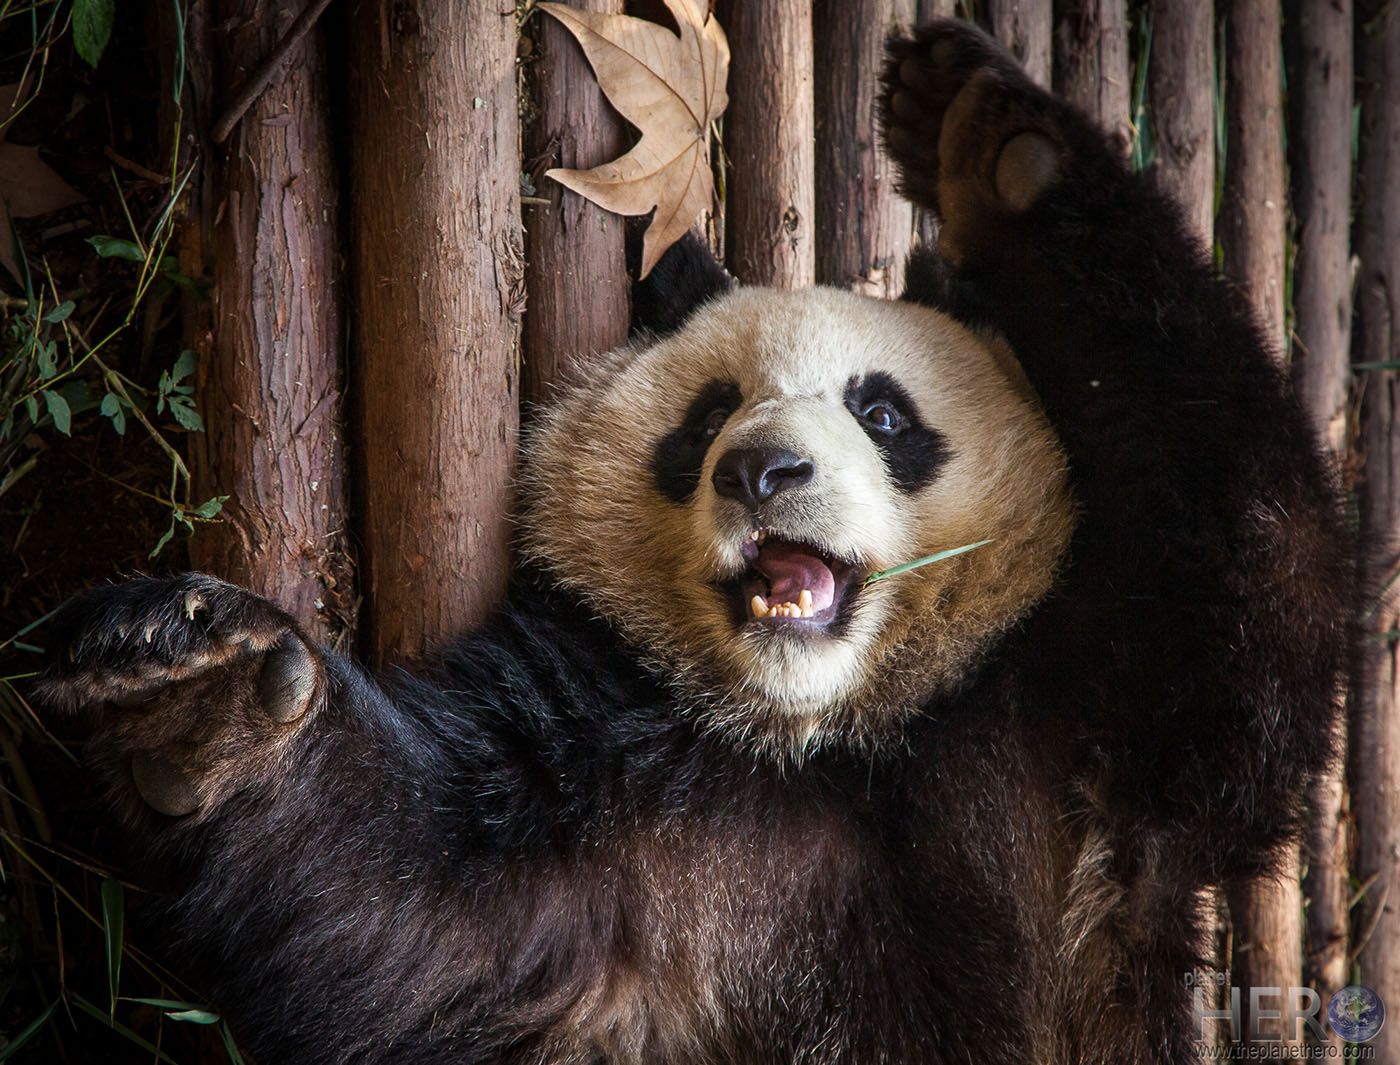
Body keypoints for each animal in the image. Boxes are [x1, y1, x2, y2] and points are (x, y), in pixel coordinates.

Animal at [40, 18, 1344, 1063]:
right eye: (706, 416)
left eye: (882, 413)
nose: (759, 469)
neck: (821, 739)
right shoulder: (603, 777)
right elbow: (400, 911)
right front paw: (191, 694)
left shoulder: (1070, 735)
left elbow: (1241, 609)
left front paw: (991, 141)